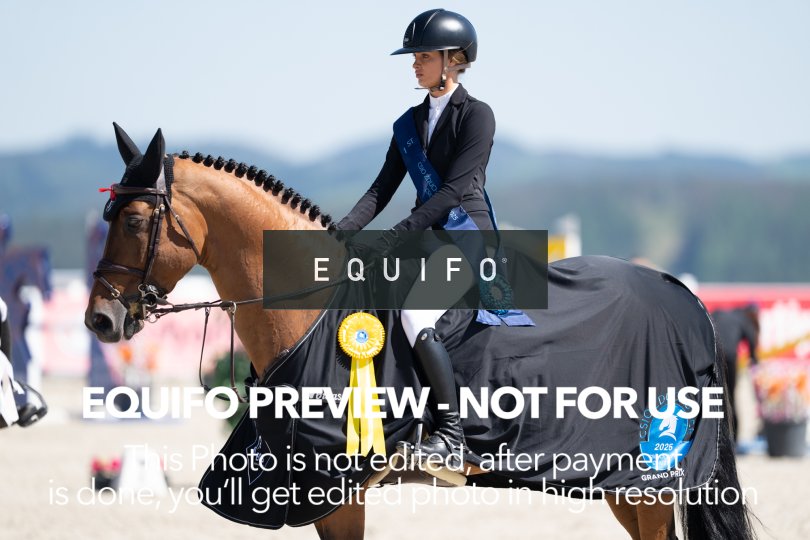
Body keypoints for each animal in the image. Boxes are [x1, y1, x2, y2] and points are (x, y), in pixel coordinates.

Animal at [85, 125, 757, 540]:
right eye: (107, 216)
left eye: (136, 220)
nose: (101, 319)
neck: (314, 314)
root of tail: (683, 296)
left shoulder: (335, 484)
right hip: (624, 484)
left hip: (650, 481)